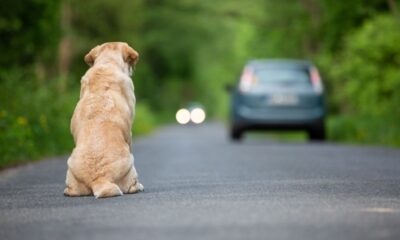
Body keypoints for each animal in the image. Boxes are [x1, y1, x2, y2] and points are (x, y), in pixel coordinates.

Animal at [63, 42, 143, 198]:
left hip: (70, 167)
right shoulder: (129, 133)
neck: (107, 63)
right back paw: (138, 187)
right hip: (130, 162)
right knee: (132, 186)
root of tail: (99, 179)